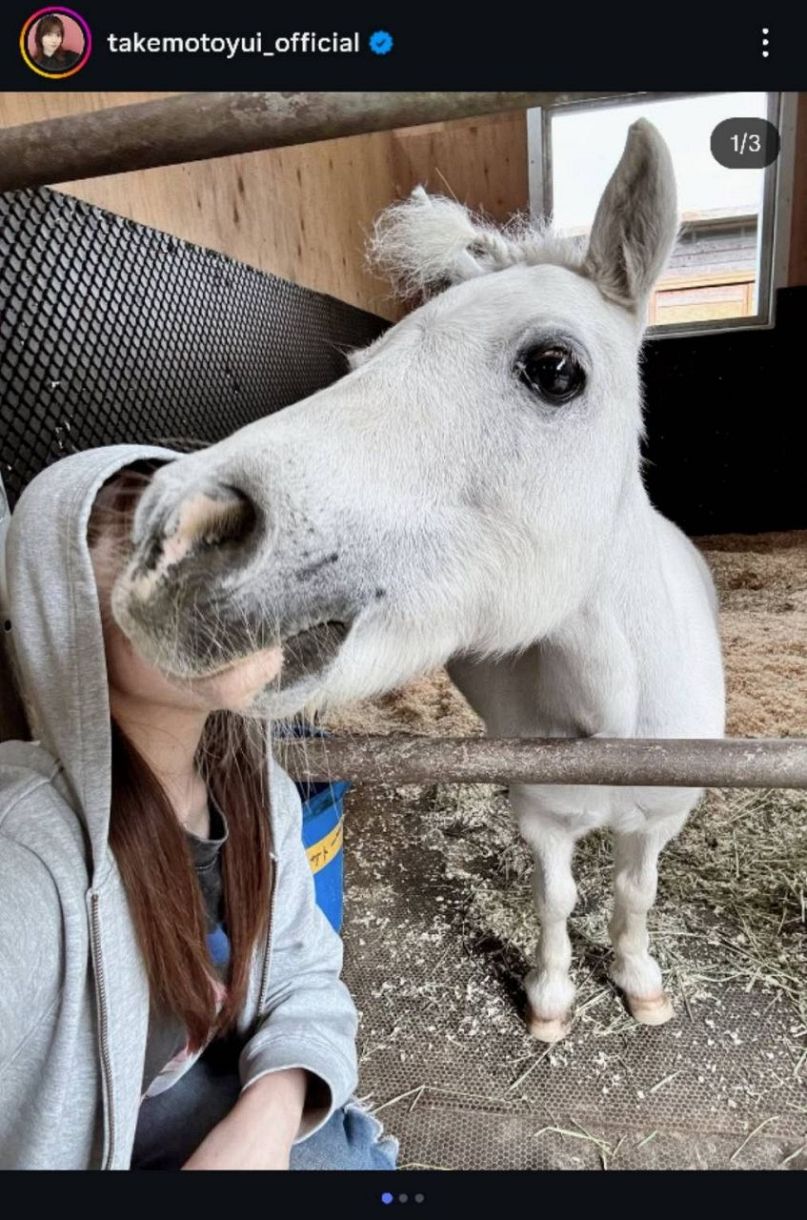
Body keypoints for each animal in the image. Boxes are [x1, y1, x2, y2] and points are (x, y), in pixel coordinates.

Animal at [114, 119, 725, 1042]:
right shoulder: (541, 815)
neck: (611, 715)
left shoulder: (658, 819)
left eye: (555, 369)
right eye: (364, 360)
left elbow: (633, 891)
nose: (176, 540)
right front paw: (550, 1001)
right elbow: (556, 898)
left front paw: (639, 981)